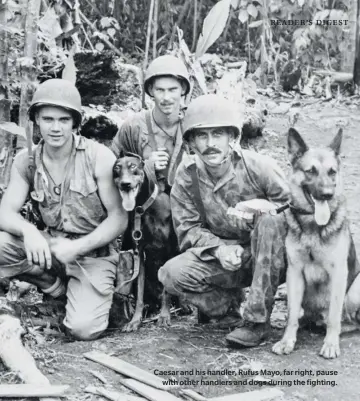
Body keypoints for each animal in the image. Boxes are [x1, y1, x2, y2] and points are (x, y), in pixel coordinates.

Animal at [111, 152, 176, 330]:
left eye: (133, 166)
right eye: (117, 168)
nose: (125, 184)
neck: (142, 208)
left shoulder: (169, 249)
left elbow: (166, 292)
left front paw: (164, 316)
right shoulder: (139, 253)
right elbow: (139, 294)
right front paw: (135, 320)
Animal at [272, 127, 360, 356]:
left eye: (332, 172)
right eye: (310, 171)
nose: (327, 194)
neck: (313, 225)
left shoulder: (338, 273)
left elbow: (334, 315)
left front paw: (330, 344)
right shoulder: (294, 272)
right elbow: (292, 314)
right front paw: (287, 340)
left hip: (356, 288)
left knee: (347, 318)